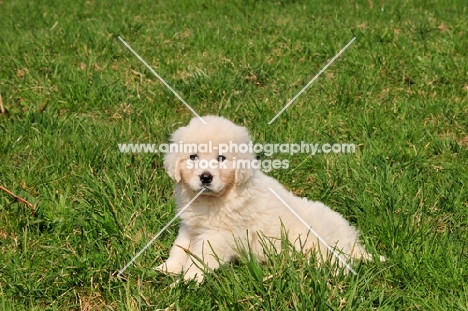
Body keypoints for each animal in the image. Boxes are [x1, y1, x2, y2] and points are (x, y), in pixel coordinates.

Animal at [159, 116, 374, 284]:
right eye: (192, 157)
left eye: (221, 158)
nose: (206, 177)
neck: (211, 199)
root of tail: (351, 239)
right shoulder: (190, 226)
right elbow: (179, 248)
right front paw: (168, 268)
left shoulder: (220, 235)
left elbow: (201, 257)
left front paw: (188, 279)